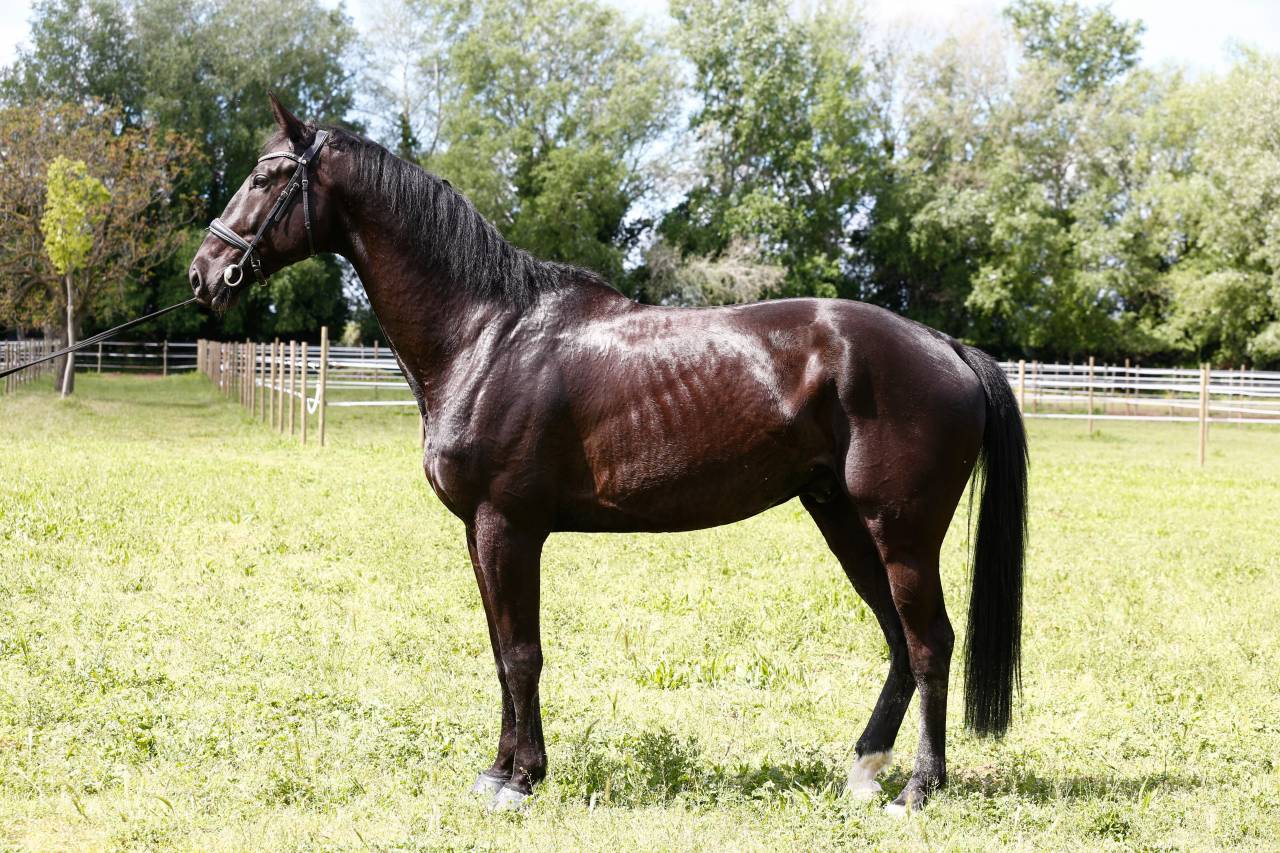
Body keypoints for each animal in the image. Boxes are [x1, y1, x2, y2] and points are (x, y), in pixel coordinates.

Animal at [189, 96, 1028, 814]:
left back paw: (918, 788)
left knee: (929, 642)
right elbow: (501, 649)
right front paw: (501, 768)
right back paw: (864, 769)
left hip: (901, 533)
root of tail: (946, 347)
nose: (203, 274)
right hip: (844, 520)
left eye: (266, 176)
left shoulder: (506, 526)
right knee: (897, 640)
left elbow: (521, 652)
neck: (488, 334)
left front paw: (519, 780)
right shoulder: (479, 532)